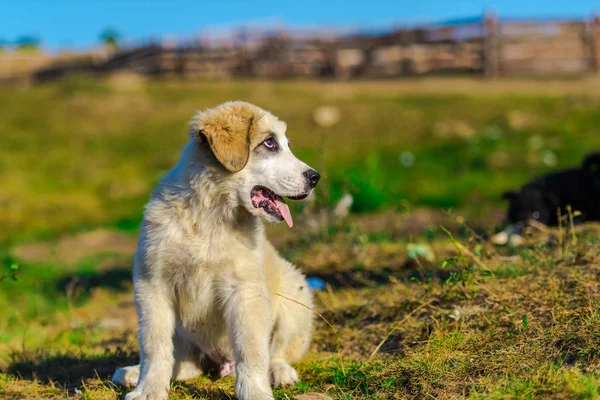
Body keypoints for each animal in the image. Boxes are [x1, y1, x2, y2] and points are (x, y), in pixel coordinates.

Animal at [112, 101, 318, 398]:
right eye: (269, 143)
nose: (315, 178)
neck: (210, 216)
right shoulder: (153, 284)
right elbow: (154, 344)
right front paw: (148, 389)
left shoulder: (245, 290)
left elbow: (251, 348)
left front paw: (254, 391)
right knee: (184, 361)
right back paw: (133, 372)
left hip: (295, 295)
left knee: (278, 350)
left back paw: (280, 372)